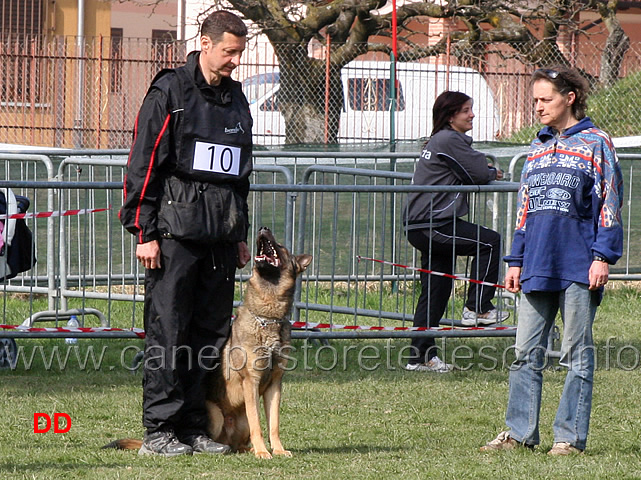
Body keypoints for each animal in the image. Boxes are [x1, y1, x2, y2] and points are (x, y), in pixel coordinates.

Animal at [104, 227, 312, 460]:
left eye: (281, 247)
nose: (263, 228)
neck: (267, 318)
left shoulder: (275, 385)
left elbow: (273, 424)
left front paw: (277, 449)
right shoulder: (251, 382)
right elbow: (258, 424)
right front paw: (262, 451)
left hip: (241, 422)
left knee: (237, 444)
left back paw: (245, 449)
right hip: (215, 414)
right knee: (211, 437)